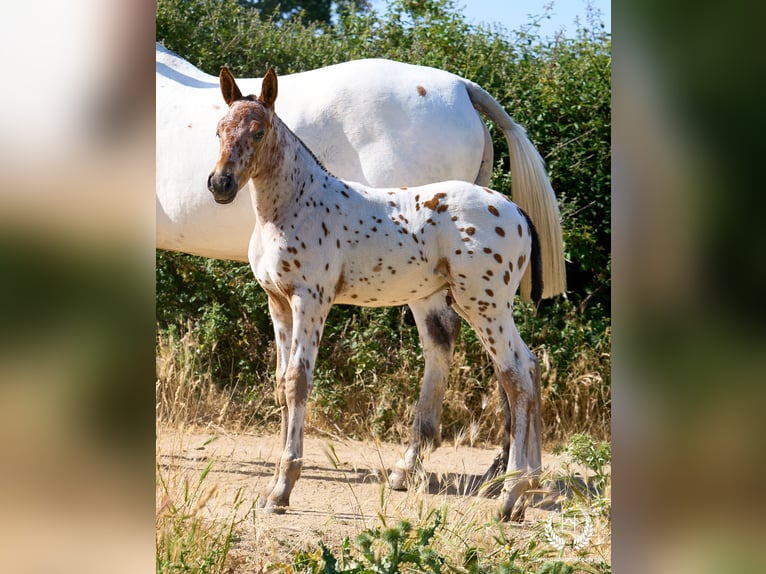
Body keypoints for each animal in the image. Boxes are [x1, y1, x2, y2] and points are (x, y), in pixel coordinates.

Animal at [157, 43, 565, 492]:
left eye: (259, 132)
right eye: (218, 130)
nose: (220, 184)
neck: (297, 203)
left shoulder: (311, 300)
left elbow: (299, 381)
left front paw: (284, 483)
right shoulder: (277, 301)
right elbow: (281, 384)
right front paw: (278, 474)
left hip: (482, 304)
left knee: (505, 367)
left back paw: (494, 477)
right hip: (479, 303)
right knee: (523, 364)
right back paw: (521, 477)